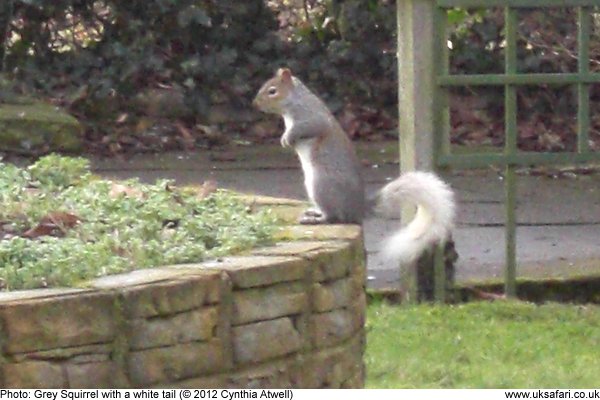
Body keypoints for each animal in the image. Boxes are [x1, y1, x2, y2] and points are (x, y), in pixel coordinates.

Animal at [253, 68, 454, 266]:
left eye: (272, 91)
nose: (255, 104)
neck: (294, 101)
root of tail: (357, 208)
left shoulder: (310, 116)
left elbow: (309, 128)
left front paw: (287, 138)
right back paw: (314, 212)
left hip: (321, 185)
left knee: (335, 217)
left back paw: (316, 219)